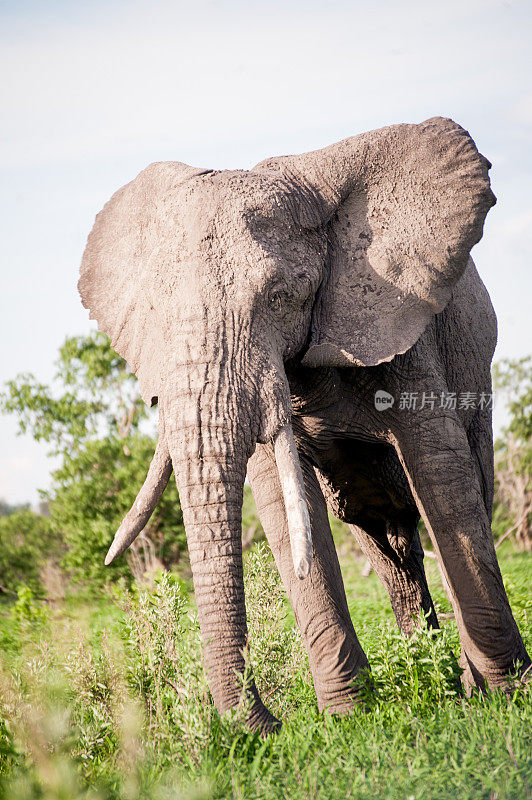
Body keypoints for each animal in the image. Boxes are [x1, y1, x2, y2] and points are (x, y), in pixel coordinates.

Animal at [78, 115, 528, 736]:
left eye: (281, 295)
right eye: (155, 317)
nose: (269, 726)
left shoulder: (400, 319)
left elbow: (441, 479)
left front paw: (505, 696)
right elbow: (282, 498)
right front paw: (349, 716)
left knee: (464, 494)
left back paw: (459, 680)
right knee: (383, 535)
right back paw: (431, 671)